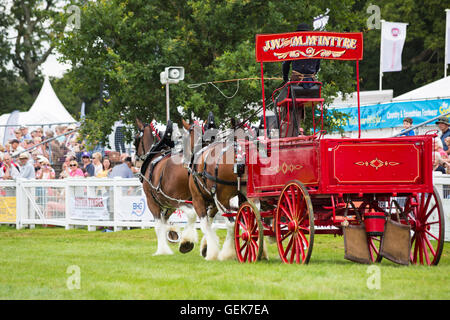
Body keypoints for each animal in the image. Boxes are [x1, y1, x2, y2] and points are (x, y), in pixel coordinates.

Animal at [134, 117, 197, 255]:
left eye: (136, 138)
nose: (135, 158)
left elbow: (159, 225)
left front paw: (162, 250)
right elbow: (165, 221)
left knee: (192, 215)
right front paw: (172, 233)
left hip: (179, 200)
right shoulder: (168, 205)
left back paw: (187, 243)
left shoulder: (152, 201)